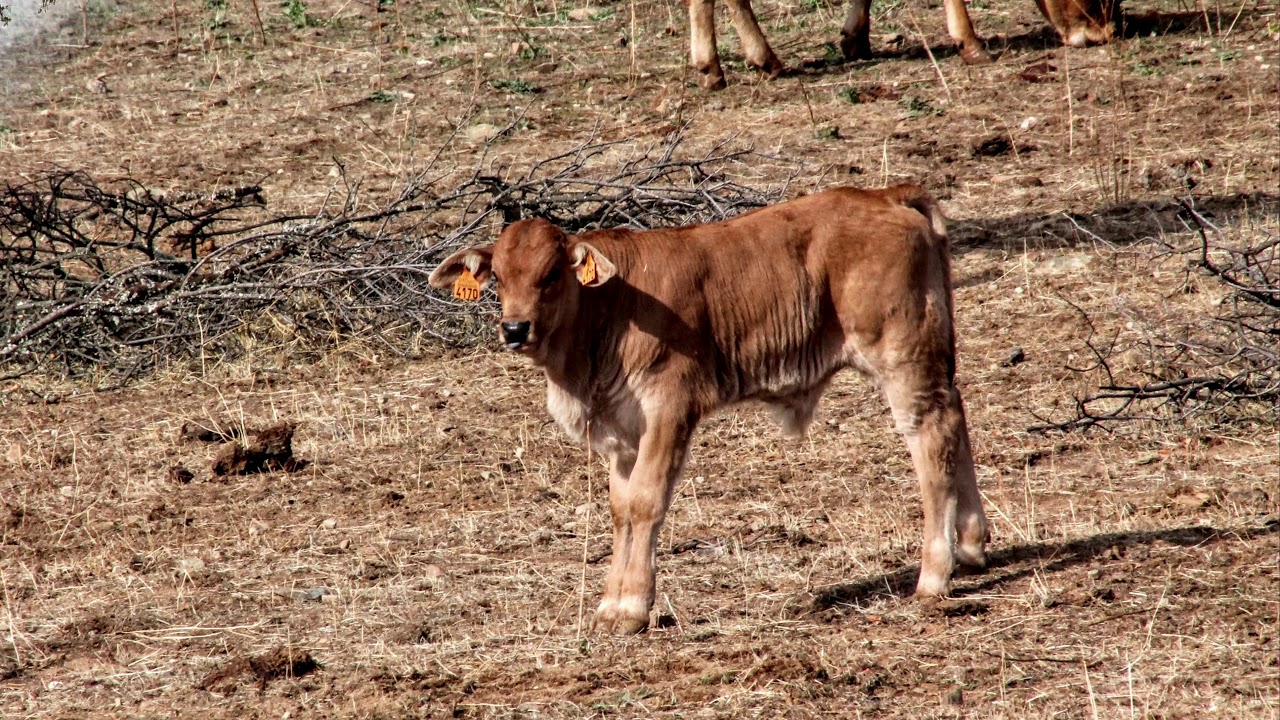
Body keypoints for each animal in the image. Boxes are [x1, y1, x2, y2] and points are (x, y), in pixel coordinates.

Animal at [428, 185, 989, 634]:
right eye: (499, 278)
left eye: (550, 276)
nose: (514, 329)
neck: (608, 313)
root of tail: (888, 194)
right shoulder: (621, 433)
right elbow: (620, 510)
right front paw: (610, 604)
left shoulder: (669, 409)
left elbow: (646, 503)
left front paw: (632, 607)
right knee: (956, 415)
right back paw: (971, 544)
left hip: (902, 357)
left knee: (933, 434)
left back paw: (935, 573)